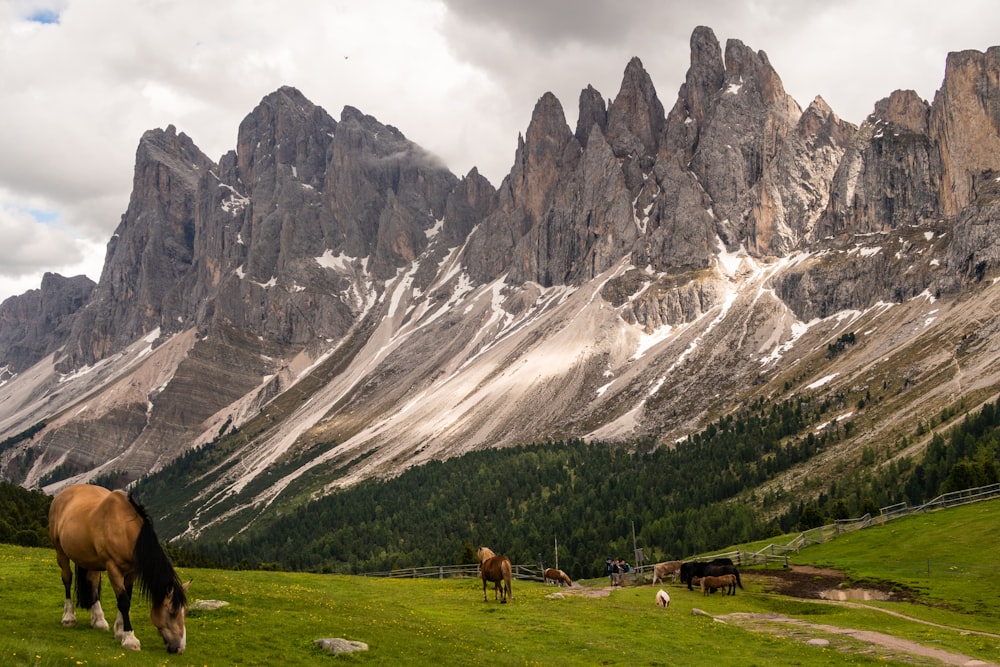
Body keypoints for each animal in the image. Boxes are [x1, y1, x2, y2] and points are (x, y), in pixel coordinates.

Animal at [48, 486, 189, 652]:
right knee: (67, 579)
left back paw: (99, 620)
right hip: (61, 552)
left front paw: (120, 630)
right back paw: (68, 617)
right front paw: (129, 638)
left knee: (92, 583)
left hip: (91, 561)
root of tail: (61, 494)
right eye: (172, 612)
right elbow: (123, 601)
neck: (123, 528)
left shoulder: (131, 571)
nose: (180, 648)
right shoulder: (113, 568)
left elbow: (127, 597)